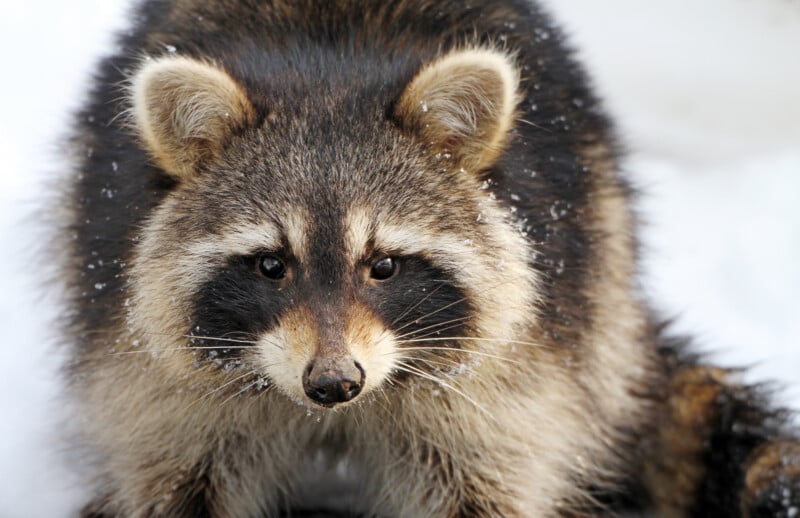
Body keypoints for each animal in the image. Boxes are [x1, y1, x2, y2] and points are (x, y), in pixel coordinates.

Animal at [59, 0, 800, 516]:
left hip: (600, 260)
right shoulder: (157, 381)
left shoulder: (514, 380)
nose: (334, 382)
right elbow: (176, 475)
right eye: (272, 266)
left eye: (383, 266)